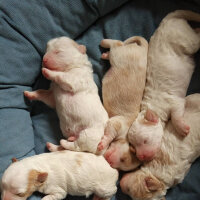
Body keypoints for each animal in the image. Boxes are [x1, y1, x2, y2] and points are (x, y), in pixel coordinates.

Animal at [97, 36, 148, 170]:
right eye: (123, 158)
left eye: (120, 168)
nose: (109, 162)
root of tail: (143, 50)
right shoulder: (118, 123)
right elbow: (110, 130)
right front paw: (103, 143)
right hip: (120, 55)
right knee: (117, 43)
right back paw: (104, 42)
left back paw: (105, 54)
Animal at [127, 10, 200, 162]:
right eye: (133, 145)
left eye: (144, 141)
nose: (141, 156)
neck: (153, 108)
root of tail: (167, 20)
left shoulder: (174, 103)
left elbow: (177, 115)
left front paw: (182, 128)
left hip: (185, 39)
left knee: (196, 39)